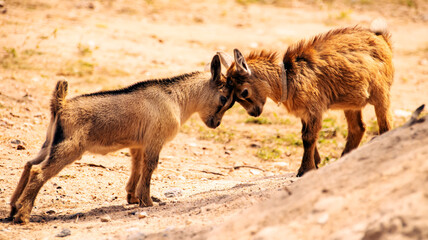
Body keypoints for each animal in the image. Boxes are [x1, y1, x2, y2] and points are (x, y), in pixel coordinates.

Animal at [8, 54, 234, 223]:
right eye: (224, 98)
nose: (216, 123)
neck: (177, 98)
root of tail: (61, 105)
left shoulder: (138, 145)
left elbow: (137, 167)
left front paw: (133, 198)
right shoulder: (155, 140)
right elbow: (150, 167)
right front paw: (148, 201)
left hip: (49, 143)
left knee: (29, 164)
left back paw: (12, 209)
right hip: (69, 148)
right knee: (38, 171)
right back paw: (23, 215)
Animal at [224, 25, 394, 176]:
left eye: (244, 92)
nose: (253, 113)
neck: (288, 78)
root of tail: (383, 40)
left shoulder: (314, 108)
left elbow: (308, 137)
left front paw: (305, 169)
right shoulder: (304, 113)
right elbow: (306, 135)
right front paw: (316, 162)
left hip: (381, 92)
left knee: (385, 124)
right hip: (351, 103)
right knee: (358, 128)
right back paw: (344, 157)